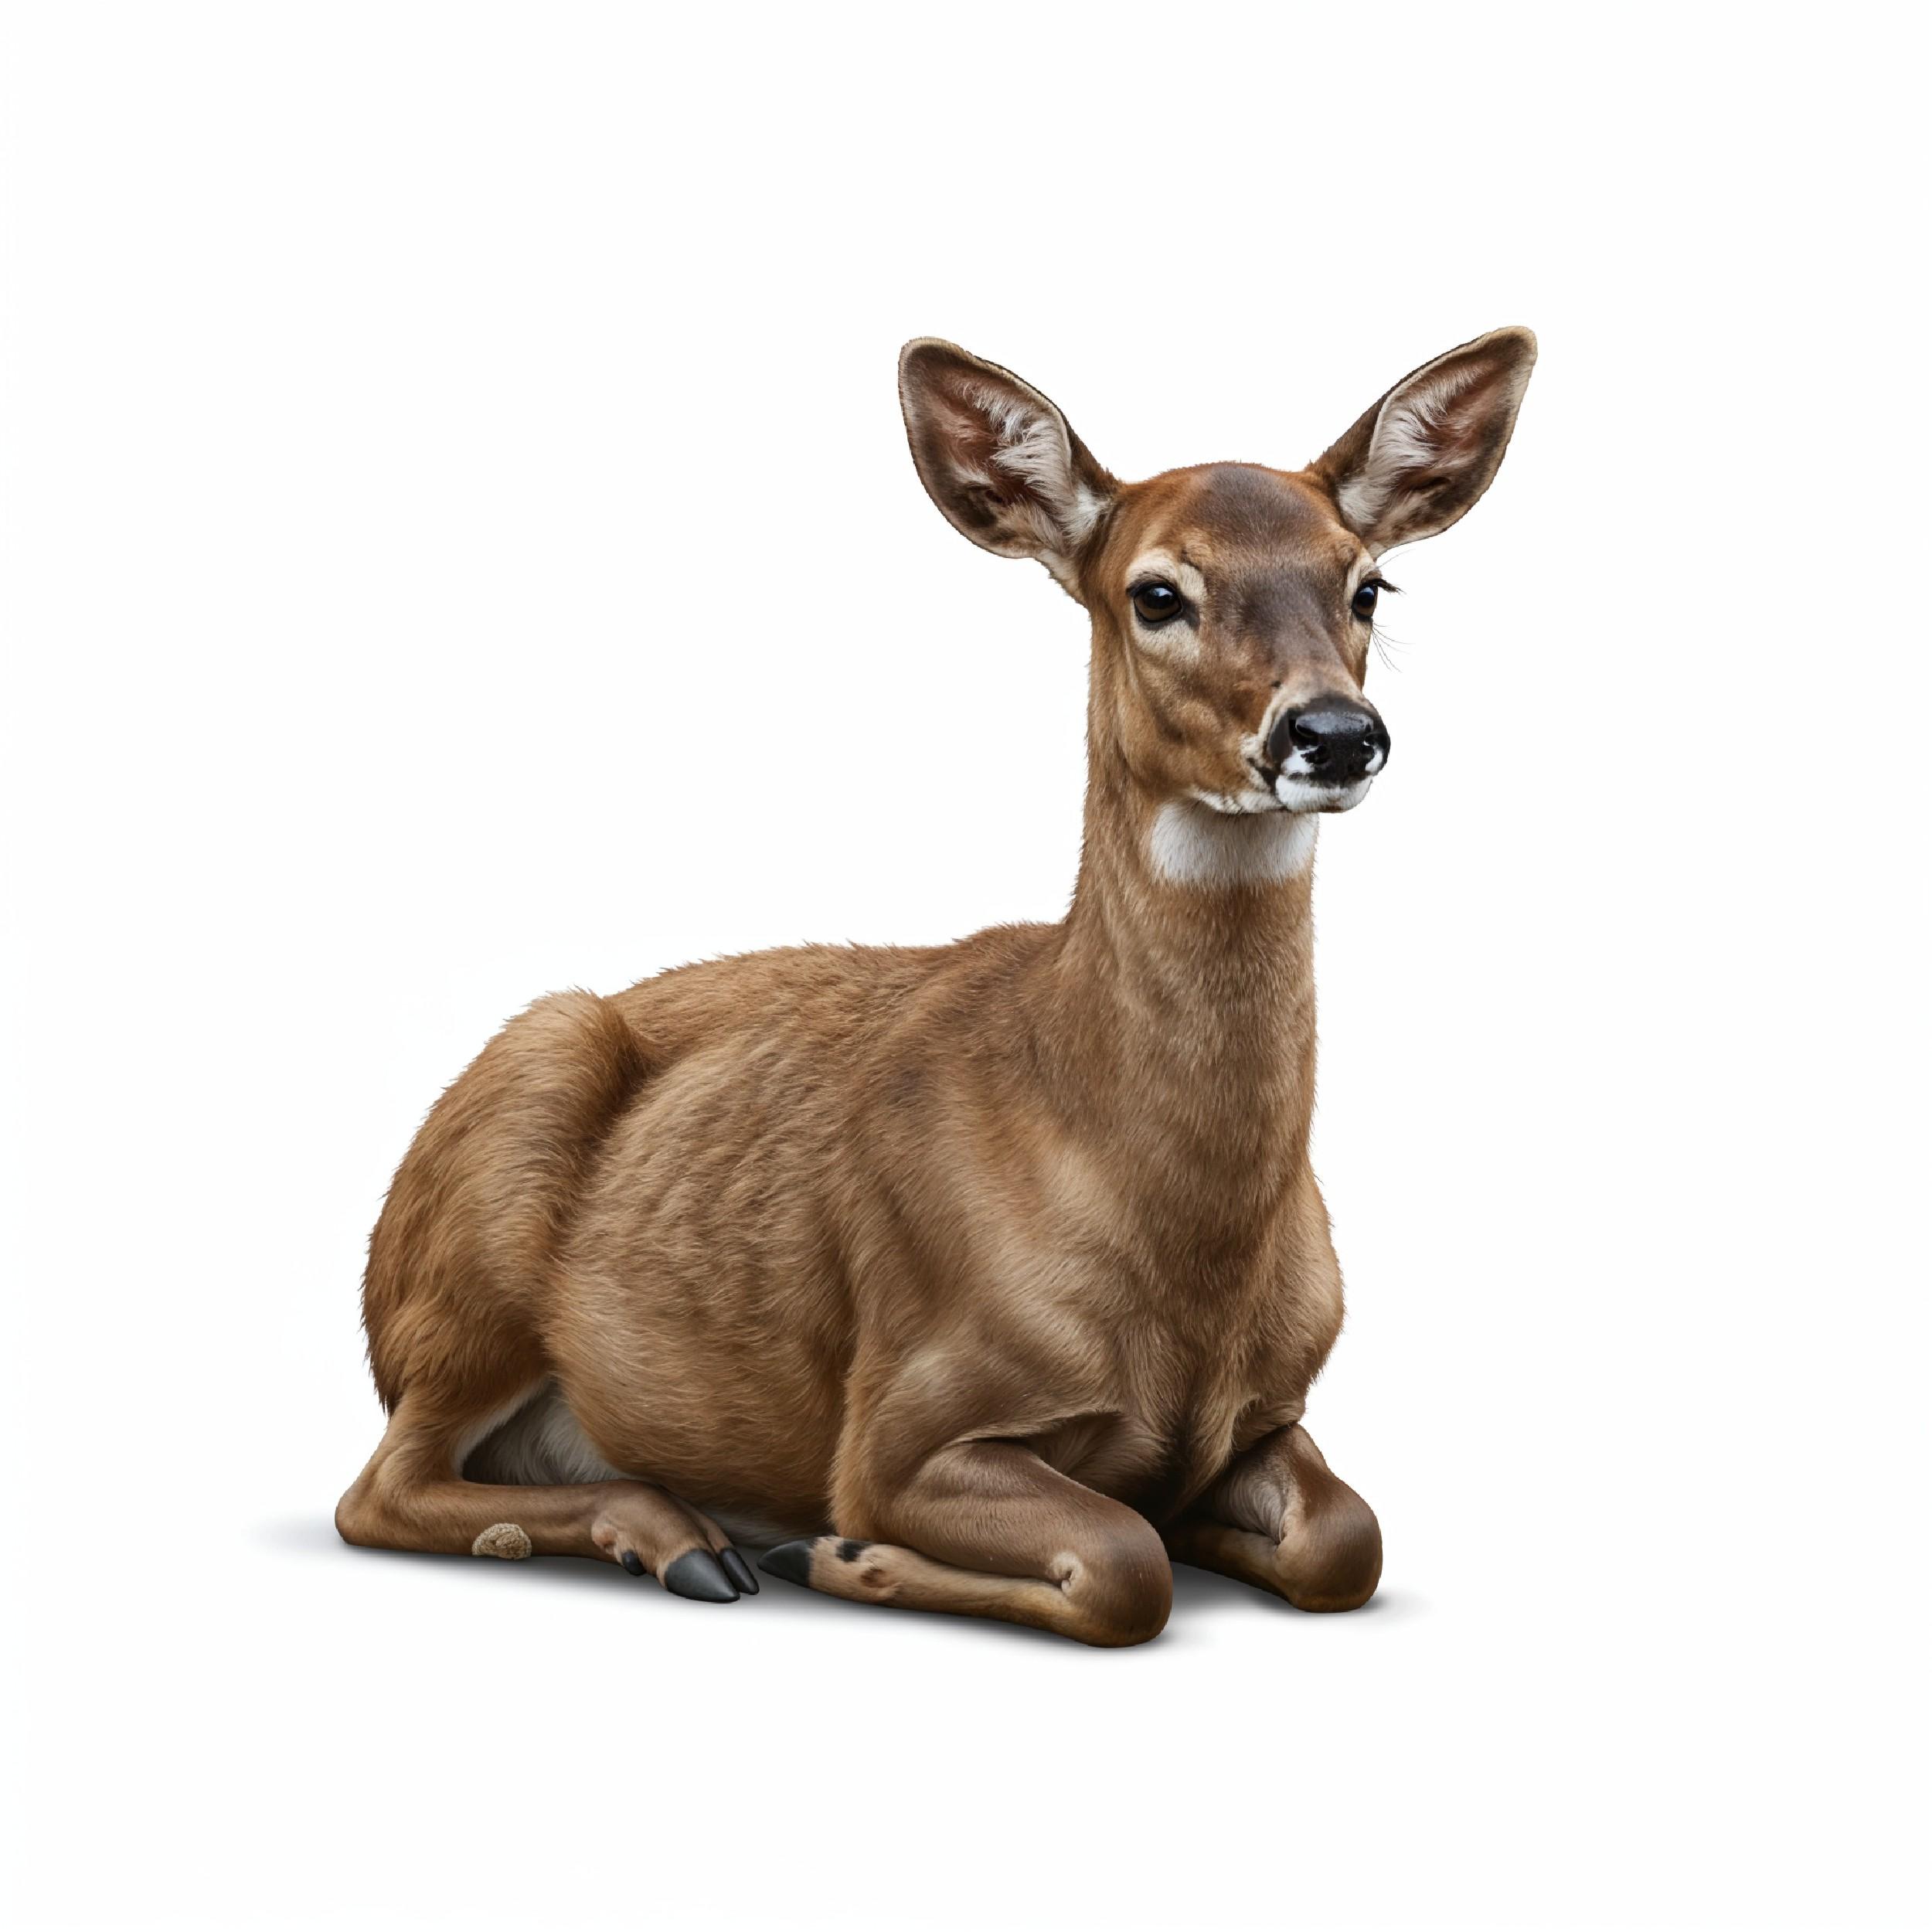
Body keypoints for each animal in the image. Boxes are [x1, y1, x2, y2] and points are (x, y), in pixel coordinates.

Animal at [336, 327, 1537, 1644]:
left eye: (1367, 585)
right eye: (1157, 593)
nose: (1332, 732)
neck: (1186, 1254)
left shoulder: (1272, 1409)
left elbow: (1342, 1540)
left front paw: (1214, 1530)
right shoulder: (904, 1413)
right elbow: (1122, 1560)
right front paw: (842, 1554)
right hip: (487, 1224)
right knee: (379, 1491)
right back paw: (683, 1540)